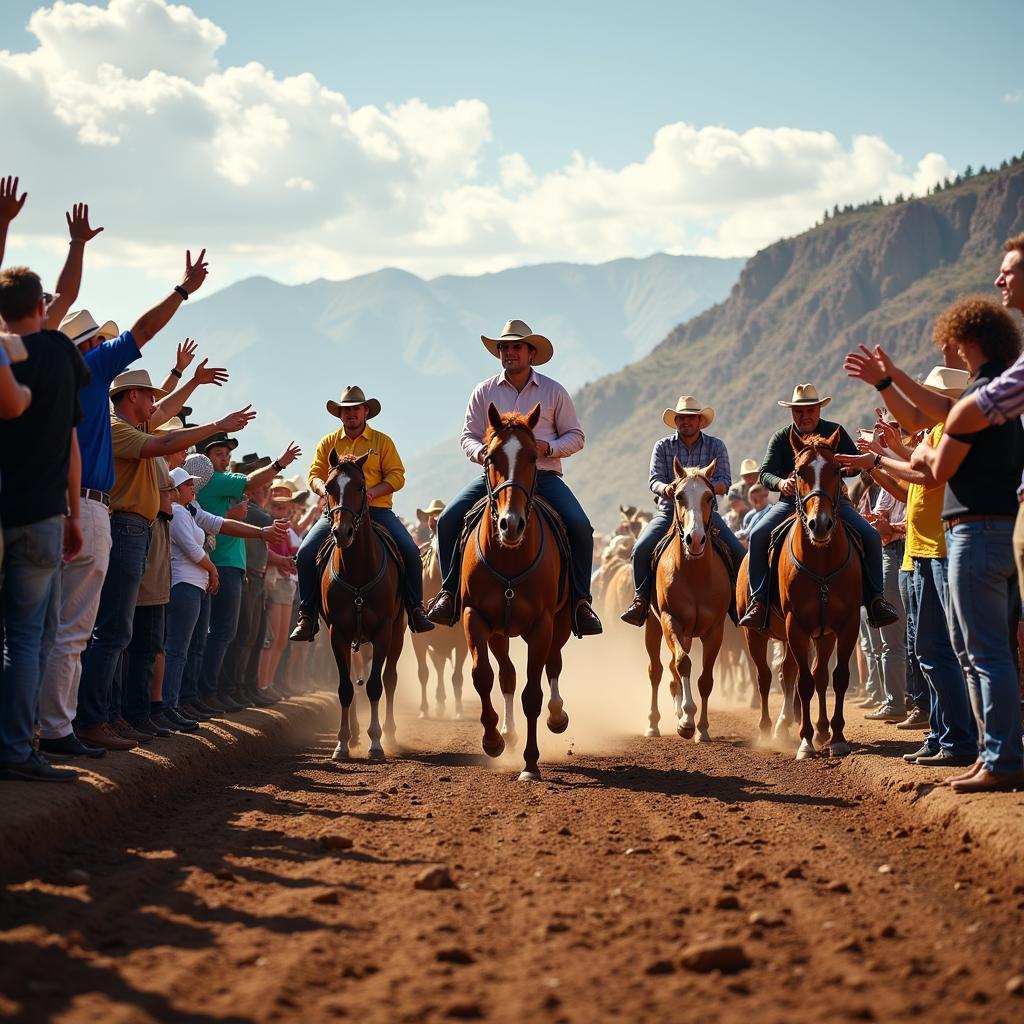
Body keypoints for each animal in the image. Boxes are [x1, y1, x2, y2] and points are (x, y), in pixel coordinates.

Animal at [321, 450, 405, 761]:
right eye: (329, 487)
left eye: (360, 486)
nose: (341, 532)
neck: (357, 571)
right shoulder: (336, 633)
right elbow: (346, 688)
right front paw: (342, 743)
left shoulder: (383, 631)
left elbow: (374, 685)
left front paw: (376, 742)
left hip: (398, 632)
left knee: (389, 679)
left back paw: (390, 734)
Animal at [411, 532, 468, 716]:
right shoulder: (419, 639)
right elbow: (423, 673)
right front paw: (424, 709)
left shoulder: (462, 642)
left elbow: (457, 677)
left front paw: (459, 711)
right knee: (438, 666)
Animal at [460, 401, 573, 782]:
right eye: (491, 457)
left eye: (533, 458)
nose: (511, 524)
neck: (509, 556)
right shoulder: (474, 617)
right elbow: (483, 676)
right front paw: (493, 739)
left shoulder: (542, 625)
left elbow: (533, 693)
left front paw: (530, 764)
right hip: (499, 632)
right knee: (506, 675)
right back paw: (508, 733)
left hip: (562, 622)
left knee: (554, 664)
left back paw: (557, 715)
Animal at [643, 460, 733, 741]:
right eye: (679, 496)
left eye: (709, 497)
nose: (695, 540)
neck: (695, 575)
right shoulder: (671, 620)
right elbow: (683, 663)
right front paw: (686, 720)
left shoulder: (715, 630)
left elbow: (705, 680)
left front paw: (701, 728)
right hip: (653, 626)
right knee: (657, 670)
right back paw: (654, 724)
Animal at [741, 432, 860, 761]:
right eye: (799, 472)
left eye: (837, 470)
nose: (820, 524)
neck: (821, 561)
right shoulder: (796, 625)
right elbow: (804, 682)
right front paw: (806, 742)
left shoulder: (844, 626)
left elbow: (835, 677)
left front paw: (834, 736)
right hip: (755, 634)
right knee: (765, 677)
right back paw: (767, 729)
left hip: (817, 635)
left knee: (797, 673)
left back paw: (802, 727)